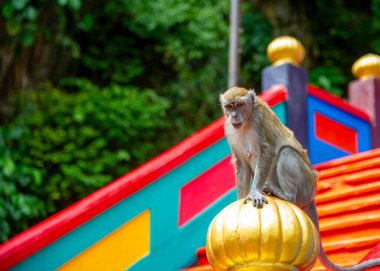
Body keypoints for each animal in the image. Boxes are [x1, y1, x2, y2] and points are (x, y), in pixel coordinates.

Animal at [220, 87, 380, 271]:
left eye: (239, 105)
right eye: (229, 106)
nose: (233, 115)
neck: (246, 122)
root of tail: (312, 194)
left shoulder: (258, 119)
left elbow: (267, 150)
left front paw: (255, 192)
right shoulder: (229, 129)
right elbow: (241, 163)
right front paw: (240, 199)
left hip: (305, 184)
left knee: (286, 152)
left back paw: (286, 195)